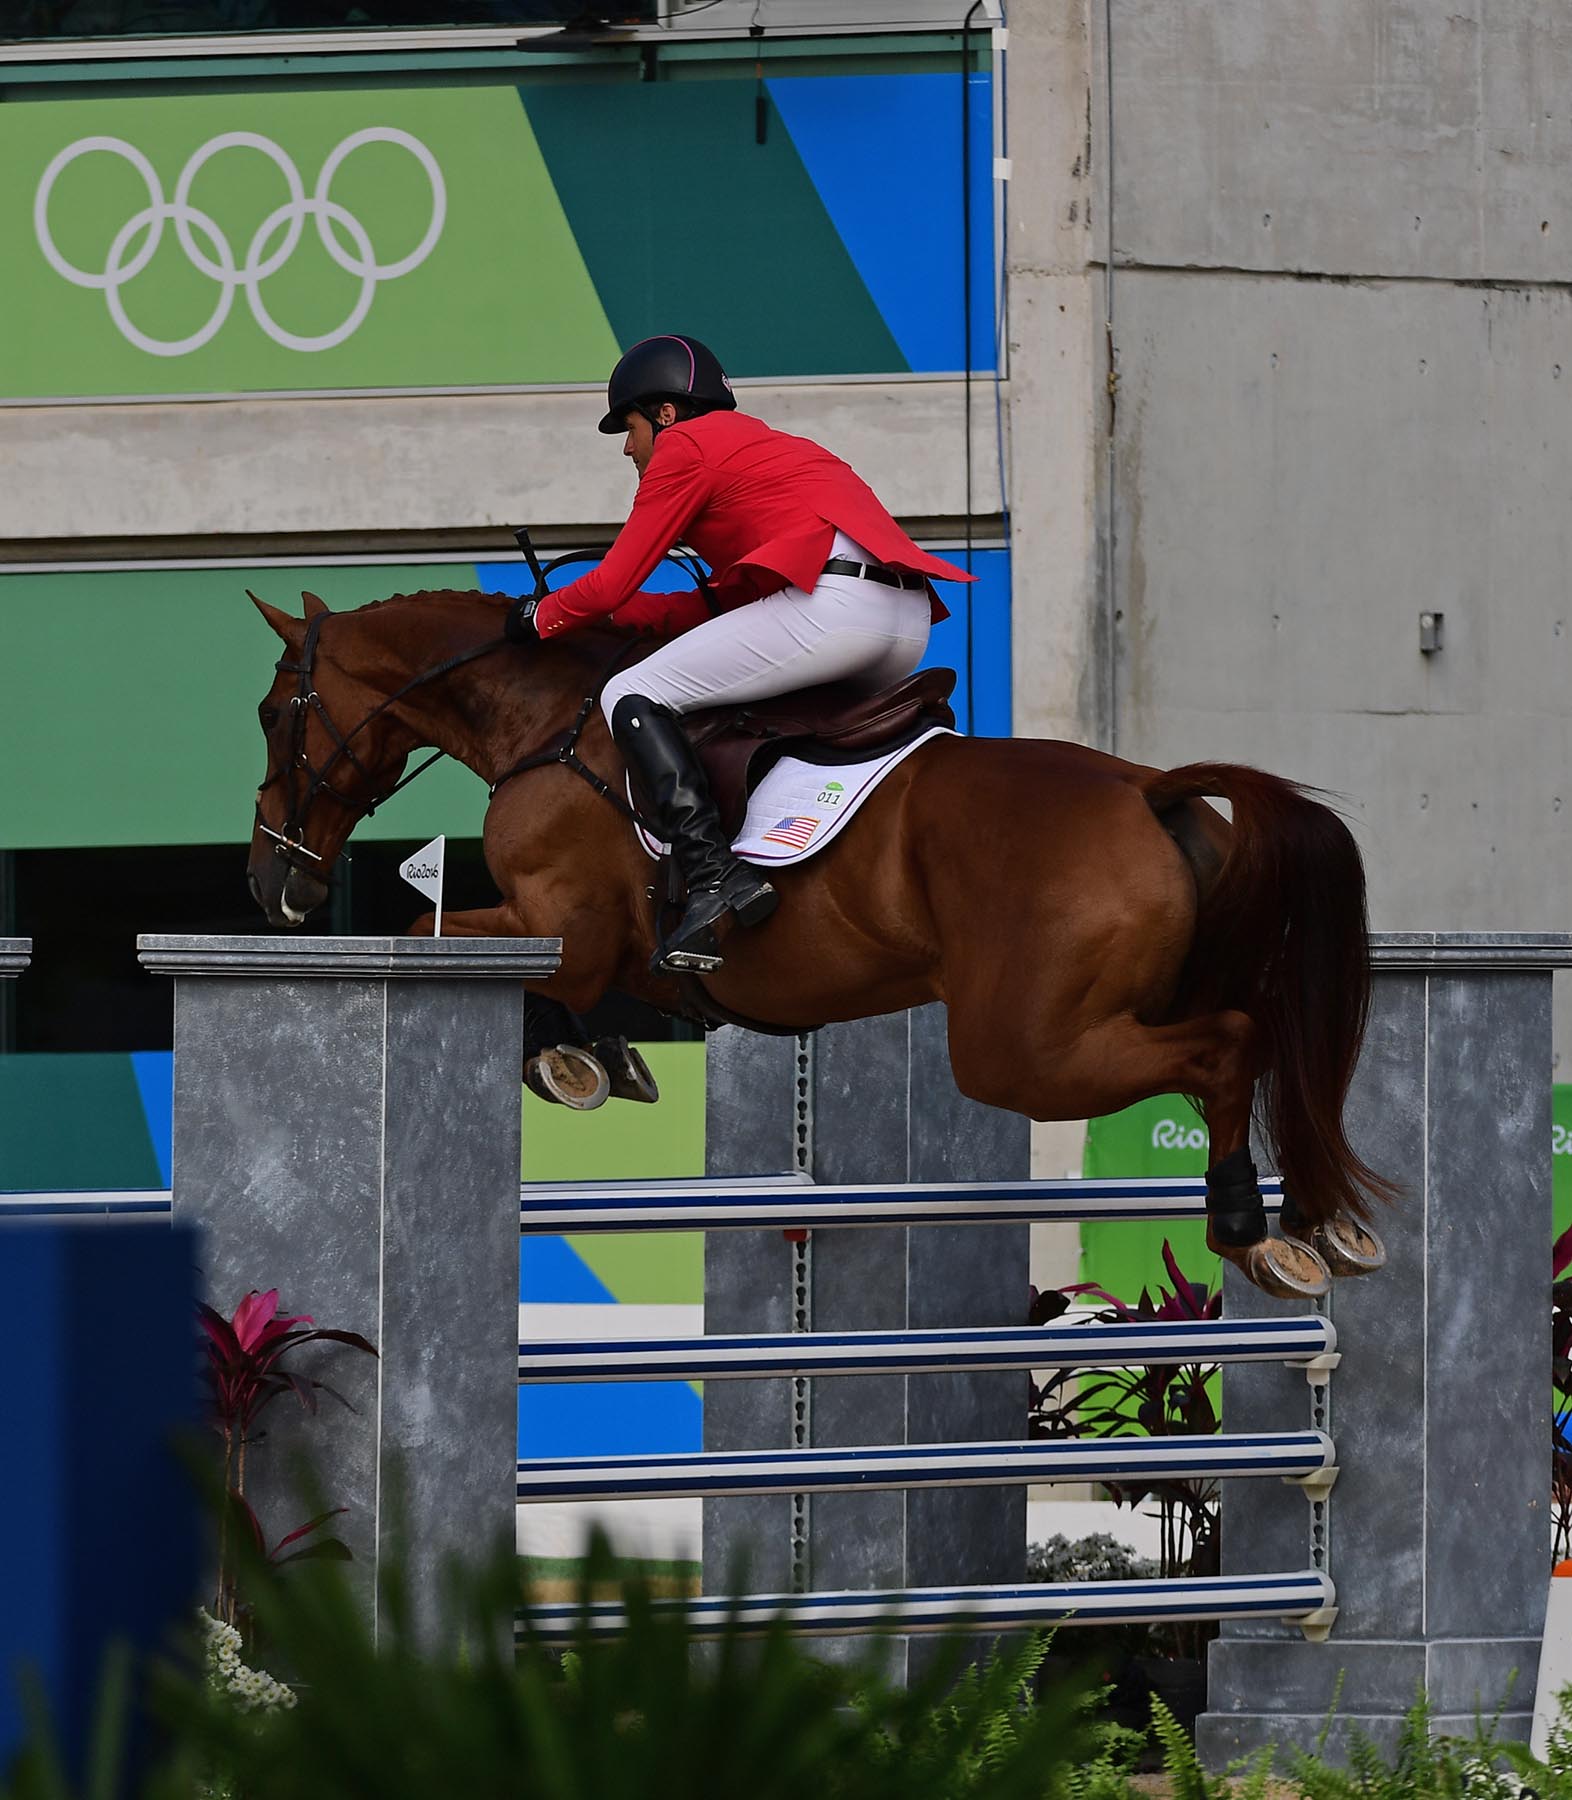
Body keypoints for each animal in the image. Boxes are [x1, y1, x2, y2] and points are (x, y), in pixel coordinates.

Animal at [243, 583, 1382, 1303]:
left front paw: (572, 1062)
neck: (548, 722)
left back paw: (1248, 1231)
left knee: (1230, 1046)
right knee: (1268, 1050)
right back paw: (1316, 1221)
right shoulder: (586, 944)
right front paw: (603, 1058)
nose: (270, 884)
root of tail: (1148, 788)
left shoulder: (569, 928)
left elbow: (442, 933)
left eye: (268, 713)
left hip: (1025, 1049)